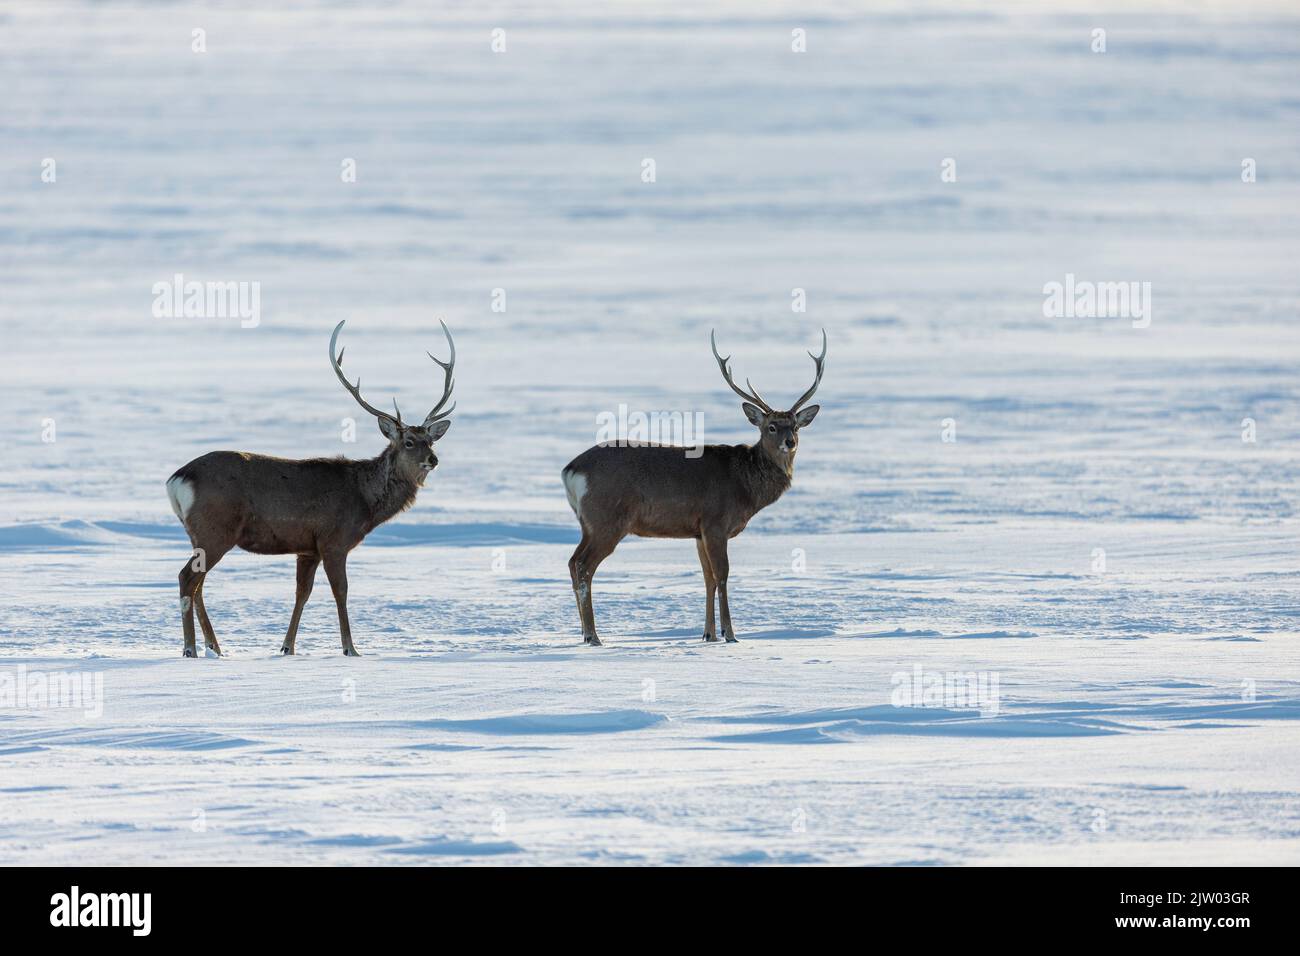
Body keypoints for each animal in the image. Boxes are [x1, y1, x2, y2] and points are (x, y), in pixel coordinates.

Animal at [165, 321, 457, 658]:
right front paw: (351, 649)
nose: (433, 460)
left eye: (431, 441)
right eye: (409, 442)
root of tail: (177, 479)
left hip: (199, 534)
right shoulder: (334, 540)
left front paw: (287, 647)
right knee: (187, 578)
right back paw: (190, 649)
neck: (365, 502)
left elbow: (301, 593)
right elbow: (341, 591)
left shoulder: (307, 548)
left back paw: (215, 647)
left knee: (198, 584)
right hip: (216, 530)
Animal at [564, 330, 826, 650]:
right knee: (583, 565)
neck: (745, 486)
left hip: (589, 523)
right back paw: (593, 635)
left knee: (572, 561)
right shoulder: (715, 521)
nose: (790, 442)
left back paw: (584, 633)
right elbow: (723, 575)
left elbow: (708, 578)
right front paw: (730, 633)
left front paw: (708, 634)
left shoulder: (698, 531)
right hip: (607, 518)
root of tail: (571, 470)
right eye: (771, 427)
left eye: (795, 426)